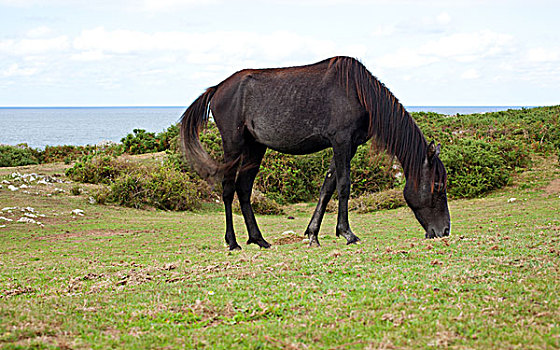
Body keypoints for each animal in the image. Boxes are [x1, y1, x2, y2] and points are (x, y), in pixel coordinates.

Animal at [179, 56, 450, 250]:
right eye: (437, 185)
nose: (444, 231)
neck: (359, 92)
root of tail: (217, 89)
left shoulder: (348, 145)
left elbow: (327, 188)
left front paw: (313, 235)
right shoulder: (341, 142)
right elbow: (343, 186)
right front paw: (347, 233)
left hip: (256, 147)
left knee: (244, 189)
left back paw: (259, 239)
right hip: (233, 145)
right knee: (227, 189)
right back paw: (233, 242)